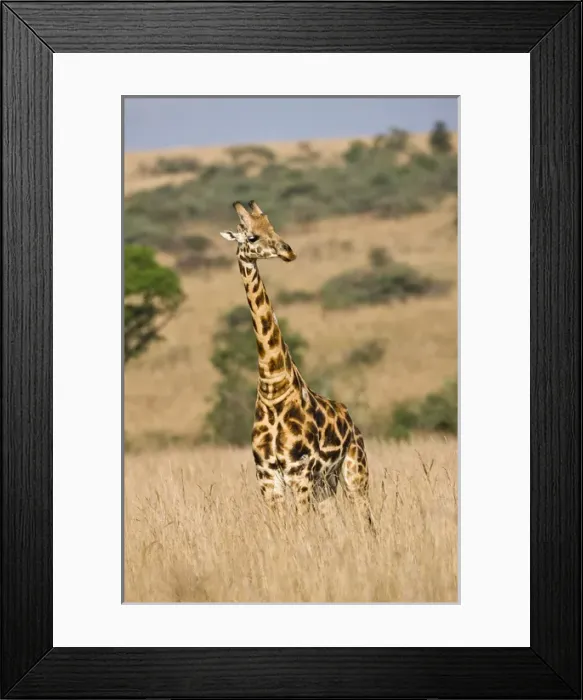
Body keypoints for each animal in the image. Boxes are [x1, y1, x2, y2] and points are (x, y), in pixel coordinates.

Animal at [220, 201, 373, 529]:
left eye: (273, 228)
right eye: (251, 237)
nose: (288, 251)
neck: (272, 386)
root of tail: (352, 420)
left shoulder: (297, 472)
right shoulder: (267, 477)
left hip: (354, 472)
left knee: (367, 521)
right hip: (325, 484)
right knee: (336, 522)